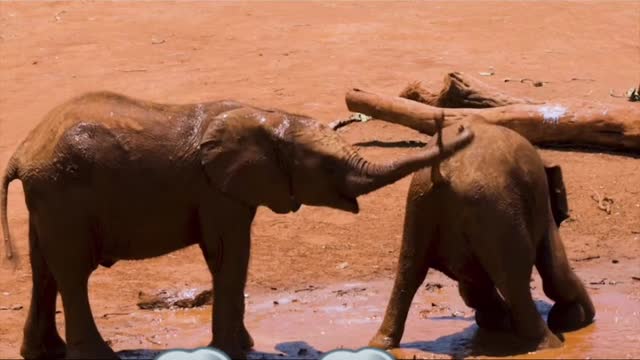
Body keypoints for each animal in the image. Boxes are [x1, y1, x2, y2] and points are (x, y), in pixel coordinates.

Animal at [368, 117, 596, 352]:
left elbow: (472, 285)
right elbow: (555, 271)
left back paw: (381, 344)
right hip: (495, 209)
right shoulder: (540, 206)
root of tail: (443, 171)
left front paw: (498, 321)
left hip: (421, 204)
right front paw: (578, 319)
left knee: (409, 272)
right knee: (515, 280)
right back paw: (549, 344)